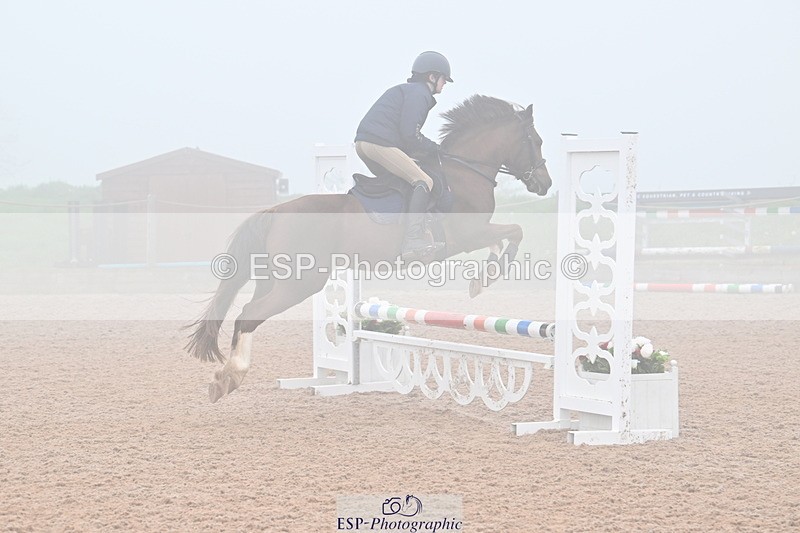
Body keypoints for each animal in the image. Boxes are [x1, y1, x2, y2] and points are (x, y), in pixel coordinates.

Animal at [185, 94, 552, 403]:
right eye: (535, 142)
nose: (545, 184)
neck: (464, 170)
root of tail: (274, 211)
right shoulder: (468, 234)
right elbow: (514, 233)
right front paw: (485, 279)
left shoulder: (475, 234)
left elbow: (502, 239)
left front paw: (482, 279)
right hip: (301, 283)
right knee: (249, 315)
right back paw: (230, 377)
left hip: (275, 279)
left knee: (249, 310)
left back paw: (225, 377)